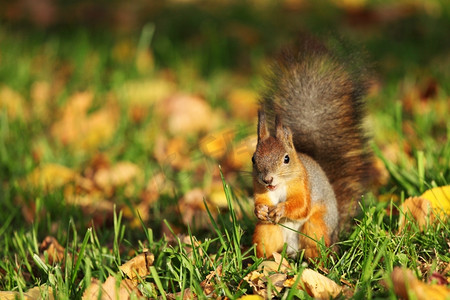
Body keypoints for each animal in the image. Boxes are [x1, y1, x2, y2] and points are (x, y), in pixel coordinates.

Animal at [251, 37, 370, 258]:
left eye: (286, 158)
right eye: (254, 159)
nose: (268, 179)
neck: (280, 186)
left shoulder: (304, 185)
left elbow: (302, 206)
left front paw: (281, 210)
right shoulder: (259, 189)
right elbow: (259, 203)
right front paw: (260, 210)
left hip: (316, 227)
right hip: (266, 231)